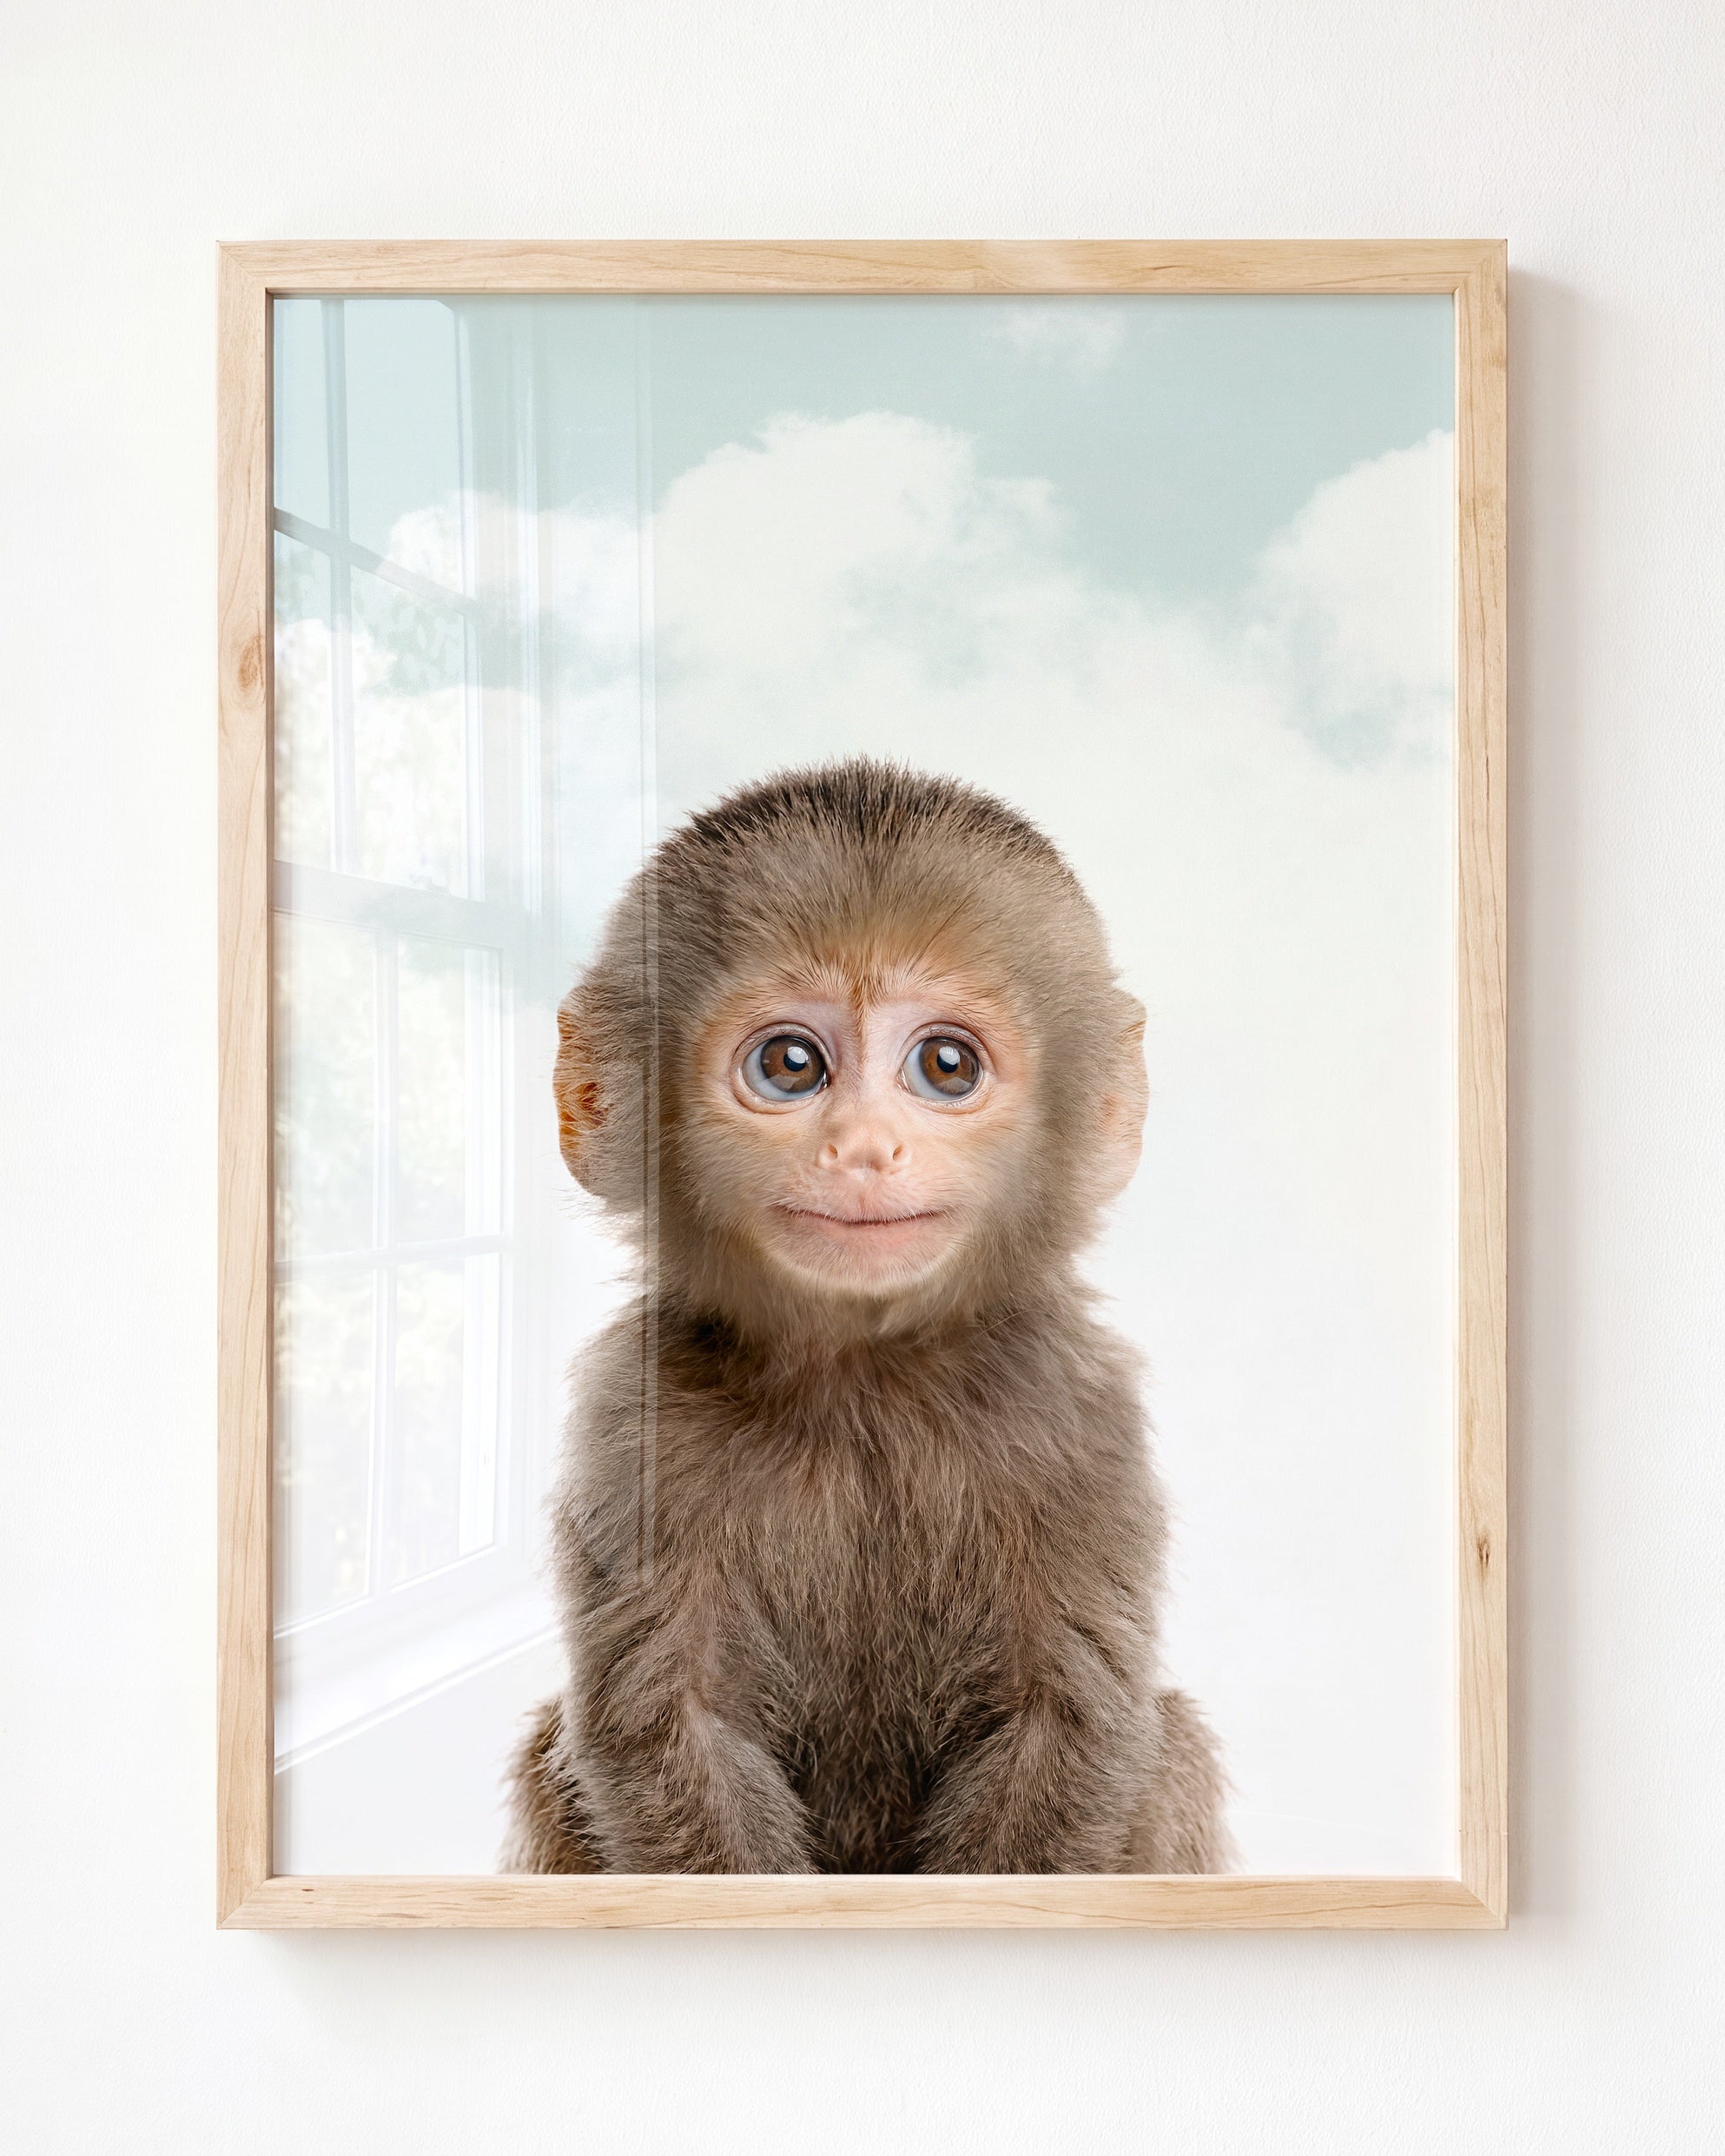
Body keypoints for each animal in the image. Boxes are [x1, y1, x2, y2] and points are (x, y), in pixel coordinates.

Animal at [501, 758, 1230, 1875]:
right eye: (791, 1065)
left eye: (945, 1066)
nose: (863, 1148)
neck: (864, 1378)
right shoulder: (635, 1416)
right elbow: (672, 1726)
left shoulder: (1078, 1412)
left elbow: (1064, 1724)